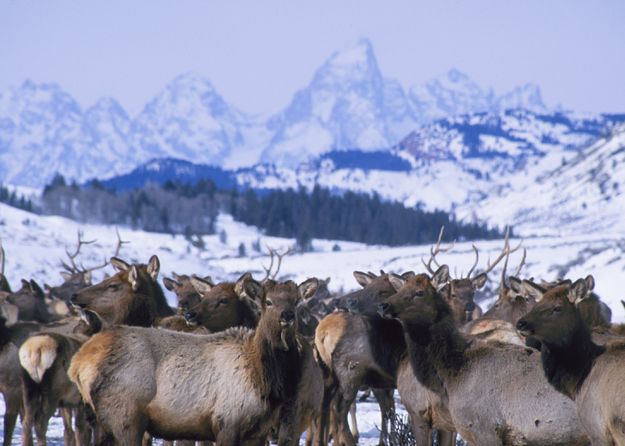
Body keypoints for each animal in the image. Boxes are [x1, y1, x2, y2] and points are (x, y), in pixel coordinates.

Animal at [69, 276, 322, 446]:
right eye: (268, 302)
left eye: (296, 301)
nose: (287, 315)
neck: (265, 379)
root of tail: (78, 363)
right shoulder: (227, 421)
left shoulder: (259, 432)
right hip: (125, 415)